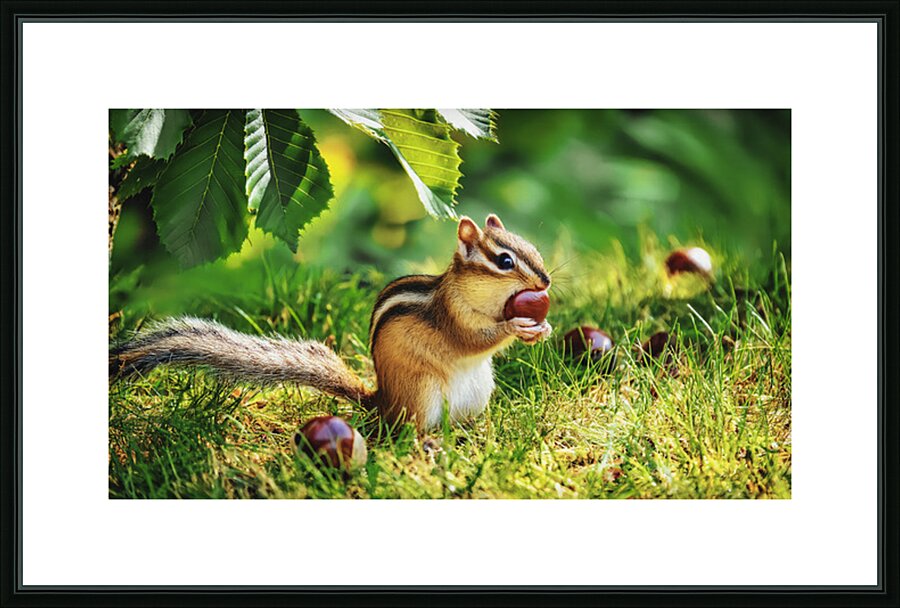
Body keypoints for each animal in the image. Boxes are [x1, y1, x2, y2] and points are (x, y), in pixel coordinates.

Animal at [110, 214, 552, 431]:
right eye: (505, 261)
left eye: (533, 249)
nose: (546, 282)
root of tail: (382, 403)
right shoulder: (453, 316)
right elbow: (473, 340)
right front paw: (516, 327)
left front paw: (542, 329)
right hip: (423, 394)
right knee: (409, 432)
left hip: (479, 391)